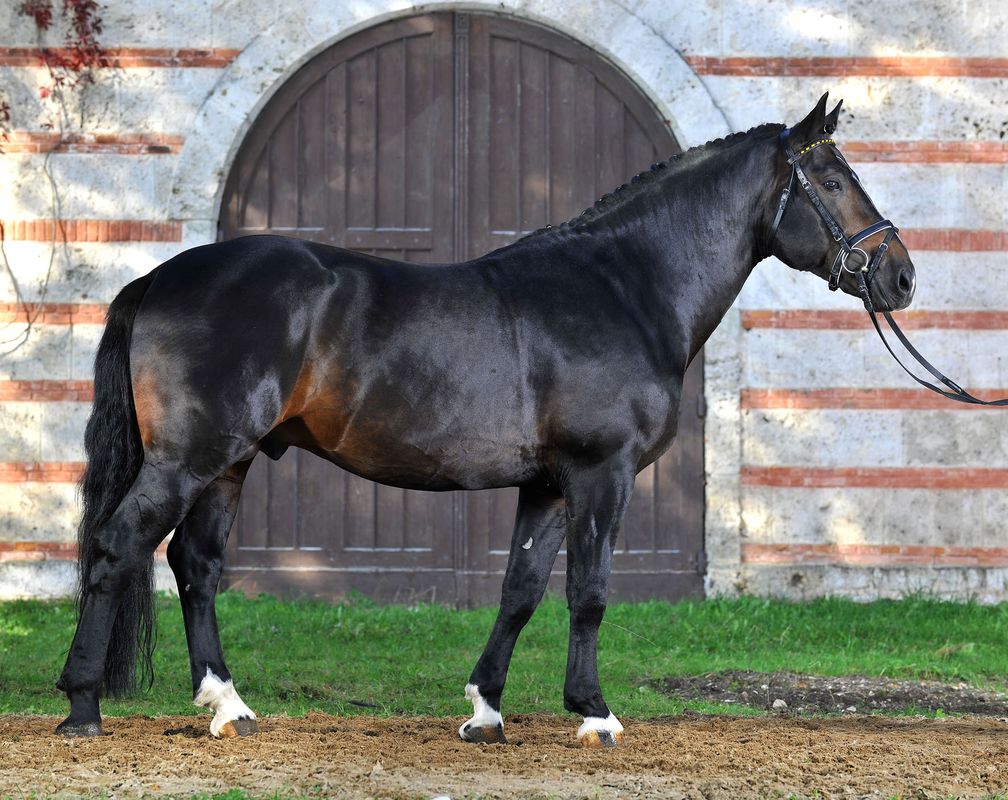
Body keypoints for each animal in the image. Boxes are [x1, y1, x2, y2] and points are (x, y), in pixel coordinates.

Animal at [58, 93, 919, 741]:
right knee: (118, 545)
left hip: (230, 461)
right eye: (833, 179)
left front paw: (485, 710)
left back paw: (228, 705)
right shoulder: (600, 474)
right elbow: (589, 591)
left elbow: (521, 590)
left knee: (195, 564)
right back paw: (83, 705)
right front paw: (594, 713)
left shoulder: (545, 485)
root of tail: (157, 279)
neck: (622, 287)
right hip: (190, 457)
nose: (902, 276)